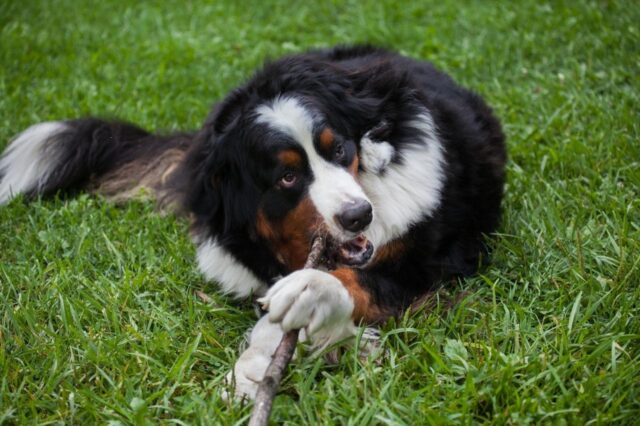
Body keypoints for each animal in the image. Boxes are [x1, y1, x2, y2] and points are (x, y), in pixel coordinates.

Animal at [0, 45, 504, 400]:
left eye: (339, 148)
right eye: (287, 177)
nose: (360, 215)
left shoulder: (425, 264)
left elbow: (352, 282)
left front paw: (313, 293)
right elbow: (274, 322)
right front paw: (251, 374)